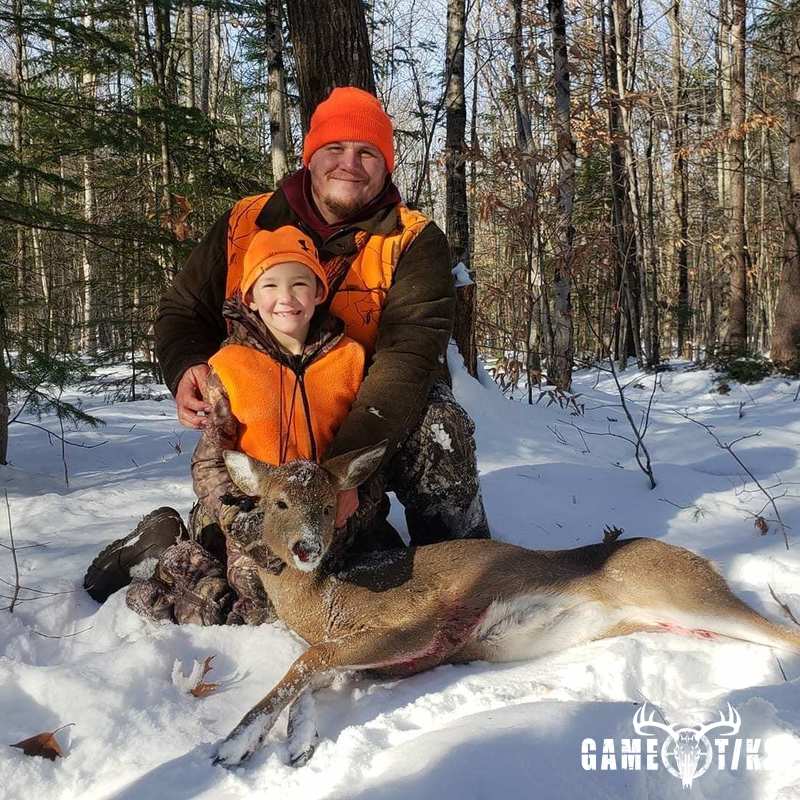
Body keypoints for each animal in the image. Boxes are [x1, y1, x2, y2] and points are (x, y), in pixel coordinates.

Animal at [212, 443, 800, 767]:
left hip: (681, 591)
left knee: (785, 635)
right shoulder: (387, 656)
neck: (324, 599)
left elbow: (309, 661)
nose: (305, 548)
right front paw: (297, 741)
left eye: (329, 506)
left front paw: (235, 742)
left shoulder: (419, 624)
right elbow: (316, 673)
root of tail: (701, 561)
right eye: (279, 502)